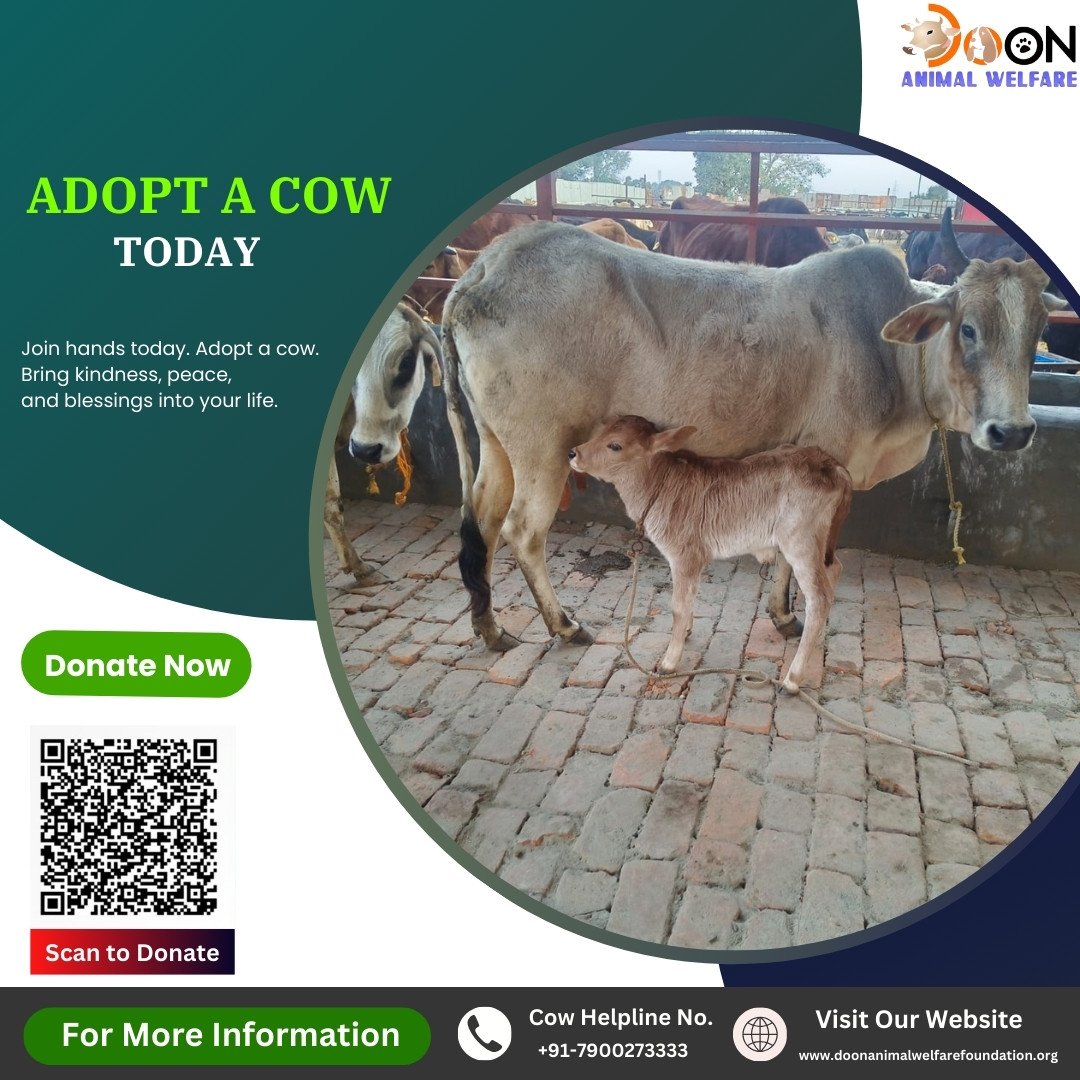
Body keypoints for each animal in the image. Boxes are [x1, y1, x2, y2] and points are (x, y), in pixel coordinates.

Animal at [441, 216, 1065, 651]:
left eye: (1039, 327)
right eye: (968, 328)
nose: (1012, 432)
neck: (889, 351)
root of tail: (481, 271)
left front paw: (782, 611)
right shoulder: (825, 459)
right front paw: (789, 616)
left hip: (497, 443)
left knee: (482, 523)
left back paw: (490, 628)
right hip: (542, 447)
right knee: (522, 531)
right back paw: (564, 626)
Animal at [568, 416, 852, 691]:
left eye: (615, 445)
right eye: (601, 431)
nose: (573, 452)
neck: (659, 485)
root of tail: (831, 464)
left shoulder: (684, 557)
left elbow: (678, 607)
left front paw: (669, 662)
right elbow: (689, 600)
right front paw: (686, 632)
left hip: (800, 543)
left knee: (819, 597)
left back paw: (792, 679)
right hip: (819, 544)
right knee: (835, 569)